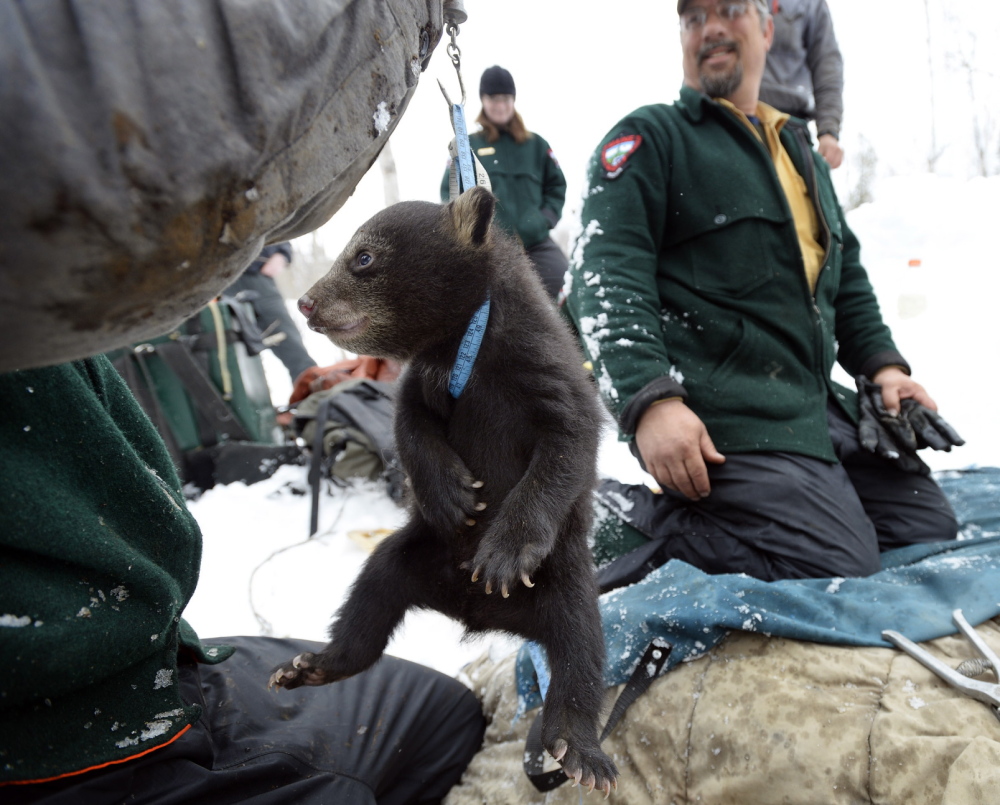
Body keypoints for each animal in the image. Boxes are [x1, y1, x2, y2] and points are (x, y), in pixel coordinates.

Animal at [269, 186, 618, 794]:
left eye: (363, 257)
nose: (307, 303)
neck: (465, 346)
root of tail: (480, 617)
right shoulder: (426, 378)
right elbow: (410, 424)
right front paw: (453, 493)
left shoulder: (544, 366)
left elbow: (568, 443)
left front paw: (502, 554)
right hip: (410, 553)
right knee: (370, 598)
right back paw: (312, 665)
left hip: (568, 577)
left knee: (580, 648)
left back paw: (581, 752)